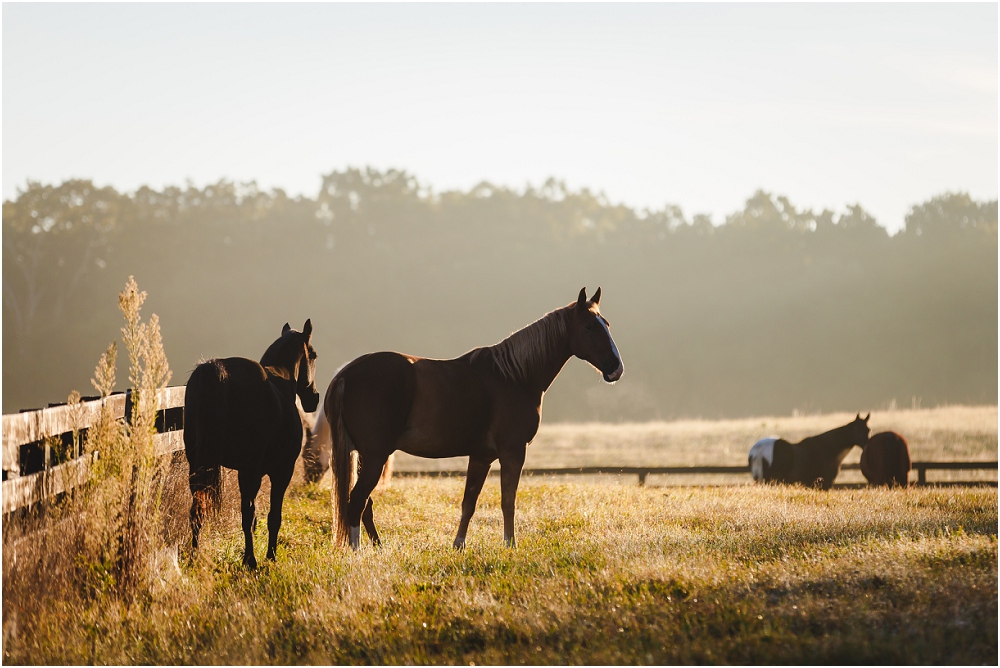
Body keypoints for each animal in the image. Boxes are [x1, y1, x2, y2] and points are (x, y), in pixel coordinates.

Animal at [182, 320, 318, 568]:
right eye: (313, 355)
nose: (313, 398)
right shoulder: (281, 471)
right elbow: (272, 516)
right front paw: (271, 556)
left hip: (197, 466)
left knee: (197, 511)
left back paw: (195, 557)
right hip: (249, 472)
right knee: (247, 513)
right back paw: (250, 560)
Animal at [328, 284, 620, 552]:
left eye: (606, 324)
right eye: (589, 327)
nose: (616, 368)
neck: (514, 376)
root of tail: (347, 372)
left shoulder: (481, 456)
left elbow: (469, 503)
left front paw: (459, 545)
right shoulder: (513, 452)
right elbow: (508, 501)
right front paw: (510, 545)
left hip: (366, 457)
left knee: (364, 504)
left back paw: (377, 547)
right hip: (375, 456)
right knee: (356, 501)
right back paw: (357, 551)